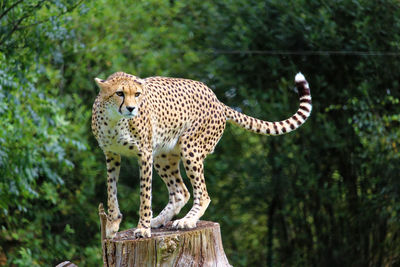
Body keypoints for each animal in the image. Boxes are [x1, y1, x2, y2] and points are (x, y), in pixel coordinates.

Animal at [92, 71, 310, 239]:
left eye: (137, 94)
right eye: (119, 93)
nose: (131, 108)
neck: (115, 120)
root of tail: (216, 98)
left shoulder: (144, 154)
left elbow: (145, 195)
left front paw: (143, 229)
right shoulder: (111, 155)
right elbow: (111, 191)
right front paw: (112, 225)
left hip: (190, 148)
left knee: (203, 194)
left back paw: (187, 221)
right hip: (162, 155)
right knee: (181, 191)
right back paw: (160, 220)